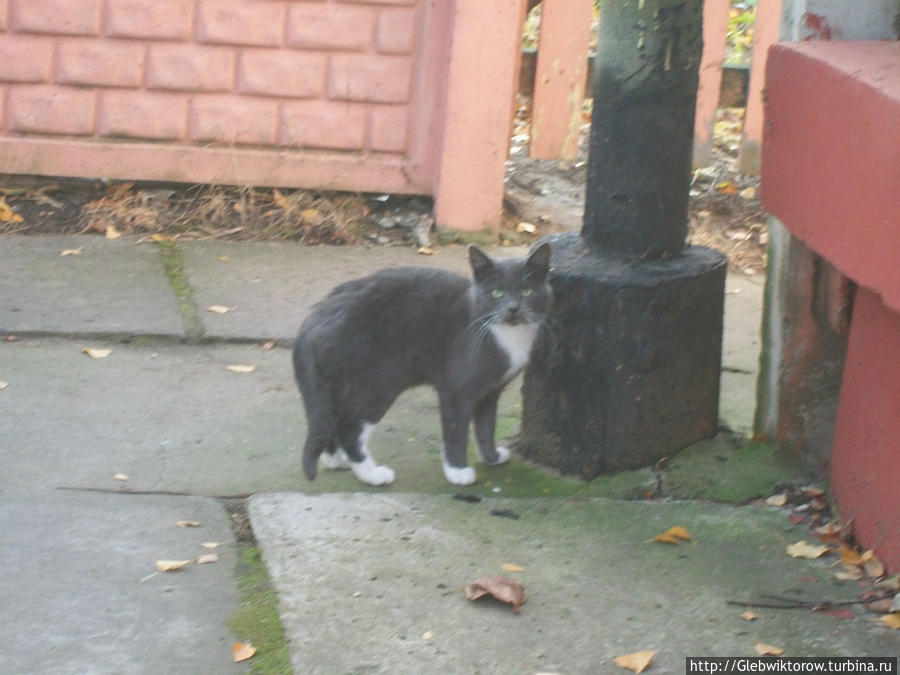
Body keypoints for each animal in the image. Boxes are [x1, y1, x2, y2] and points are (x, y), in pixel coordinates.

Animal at [292, 243, 552, 486]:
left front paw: (492, 457)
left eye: (527, 291)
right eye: (497, 293)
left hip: (341, 383)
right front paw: (458, 471)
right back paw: (372, 474)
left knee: (331, 419)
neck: (506, 335)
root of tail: (315, 317)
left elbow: (486, 426)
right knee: (350, 428)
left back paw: (337, 460)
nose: (513, 309)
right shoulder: (456, 389)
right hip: (376, 383)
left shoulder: (490, 391)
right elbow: (456, 430)